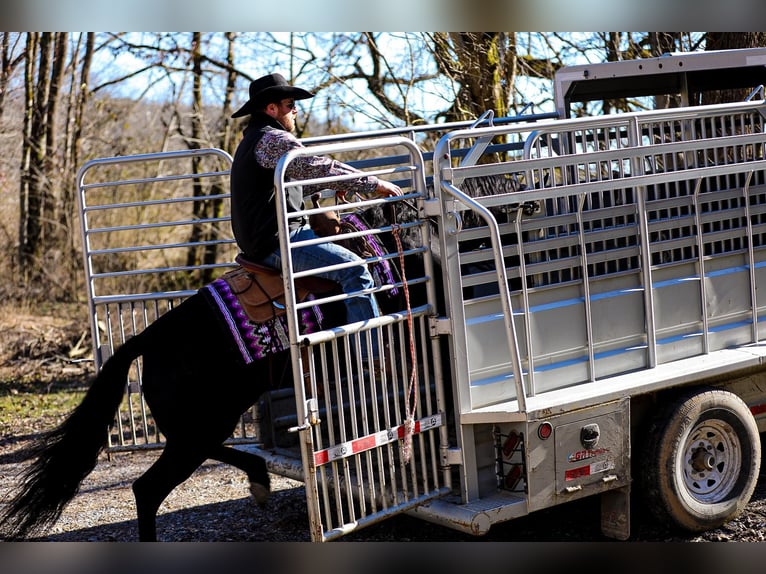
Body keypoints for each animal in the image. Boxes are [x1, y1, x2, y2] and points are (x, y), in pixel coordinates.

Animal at [0, 204, 426, 544]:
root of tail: (149, 338)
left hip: (204, 425)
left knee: (204, 455)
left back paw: (259, 479)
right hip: (198, 429)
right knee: (147, 489)